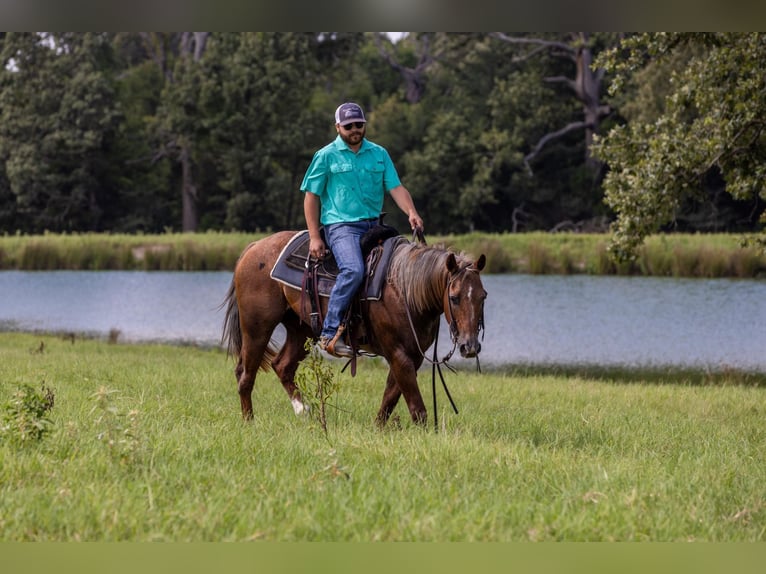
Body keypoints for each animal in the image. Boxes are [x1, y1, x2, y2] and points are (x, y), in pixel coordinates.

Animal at [221, 230, 487, 427]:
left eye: (483, 296)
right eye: (454, 297)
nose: (470, 346)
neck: (404, 289)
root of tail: (254, 246)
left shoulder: (412, 355)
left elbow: (390, 398)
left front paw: (377, 430)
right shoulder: (398, 354)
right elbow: (416, 408)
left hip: (302, 329)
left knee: (282, 366)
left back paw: (303, 410)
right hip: (257, 328)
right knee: (246, 375)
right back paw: (250, 422)